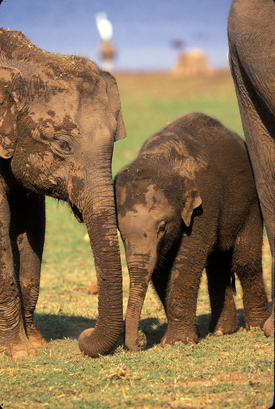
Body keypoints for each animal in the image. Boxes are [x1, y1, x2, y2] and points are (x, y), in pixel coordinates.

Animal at [0, 29, 127, 356]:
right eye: (62, 144)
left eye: (113, 143)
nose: (84, 335)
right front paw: (19, 353)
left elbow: (33, 226)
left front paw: (36, 343)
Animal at [115, 113, 270, 350]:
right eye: (121, 234)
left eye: (162, 228)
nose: (141, 338)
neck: (162, 158)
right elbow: (161, 270)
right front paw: (188, 335)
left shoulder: (203, 202)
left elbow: (187, 260)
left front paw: (177, 342)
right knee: (217, 264)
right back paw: (221, 331)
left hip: (251, 202)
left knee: (245, 260)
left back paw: (255, 327)